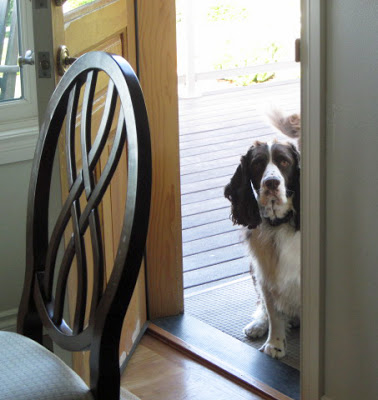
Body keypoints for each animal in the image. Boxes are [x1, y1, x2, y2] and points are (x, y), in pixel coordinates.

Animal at [224, 110, 302, 360]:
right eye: (257, 164)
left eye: (285, 162)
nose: (271, 183)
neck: (279, 224)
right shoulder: (265, 273)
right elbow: (273, 311)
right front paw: (274, 345)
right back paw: (258, 324)